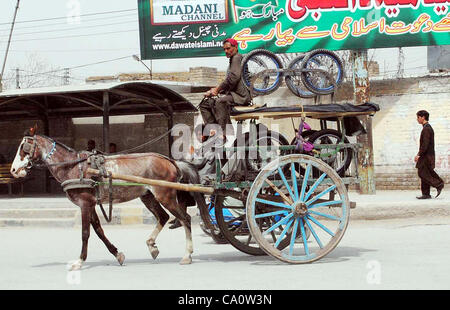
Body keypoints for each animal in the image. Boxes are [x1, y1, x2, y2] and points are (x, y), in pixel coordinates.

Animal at [10, 127, 204, 270]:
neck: (74, 167)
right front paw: (117, 254)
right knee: (164, 217)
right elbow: (98, 230)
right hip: (148, 196)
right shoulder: (90, 204)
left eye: (23, 148)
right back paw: (152, 246)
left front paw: (79, 261)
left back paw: (187, 255)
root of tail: (171, 161)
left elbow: (85, 233)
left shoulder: (85, 203)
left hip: (165, 195)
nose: (13, 170)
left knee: (184, 218)